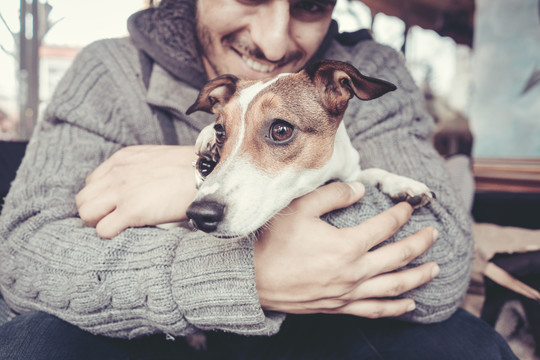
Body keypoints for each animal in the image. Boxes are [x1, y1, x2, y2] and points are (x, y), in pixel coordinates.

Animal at [186, 59, 434, 239]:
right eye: (220, 131)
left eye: (281, 130)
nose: (199, 214)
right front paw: (207, 140)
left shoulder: (349, 171)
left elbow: (370, 172)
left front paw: (403, 184)